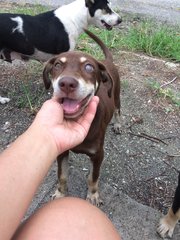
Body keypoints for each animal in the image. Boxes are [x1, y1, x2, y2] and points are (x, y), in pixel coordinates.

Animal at [42, 28, 121, 206]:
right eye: (57, 65)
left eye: (89, 67)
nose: (67, 84)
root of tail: (107, 61)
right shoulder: (62, 151)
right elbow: (62, 175)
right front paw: (60, 194)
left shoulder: (98, 154)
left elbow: (93, 177)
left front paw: (93, 196)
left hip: (117, 95)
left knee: (118, 111)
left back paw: (118, 125)